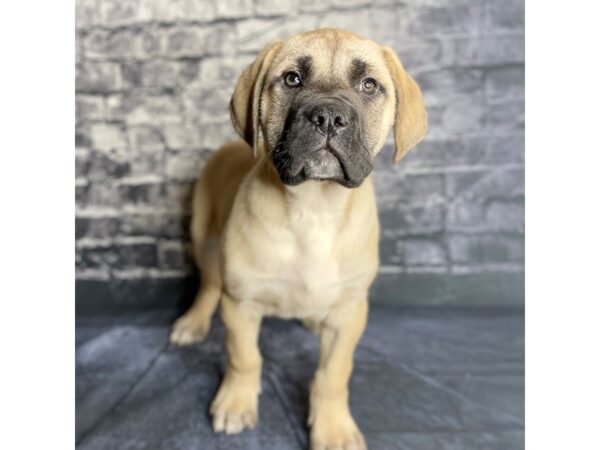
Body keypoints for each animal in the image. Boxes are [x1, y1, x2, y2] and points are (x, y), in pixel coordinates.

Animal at [171, 29, 428, 450]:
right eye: (292, 79)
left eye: (368, 85)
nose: (328, 117)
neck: (314, 208)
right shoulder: (241, 303)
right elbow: (245, 357)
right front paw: (236, 402)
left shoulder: (348, 313)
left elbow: (333, 374)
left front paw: (334, 428)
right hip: (203, 235)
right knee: (208, 283)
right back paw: (192, 322)